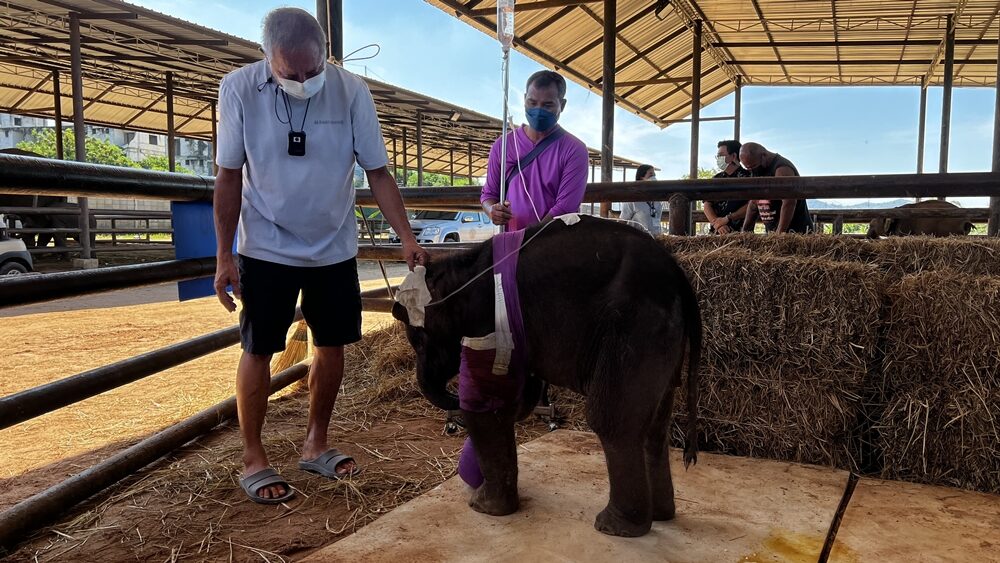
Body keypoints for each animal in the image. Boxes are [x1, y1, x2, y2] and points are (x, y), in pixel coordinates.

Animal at [392, 216, 704, 536]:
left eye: (419, 341)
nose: (451, 397)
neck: (460, 269)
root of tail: (679, 277)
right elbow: (514, 400)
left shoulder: (488, 323)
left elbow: (488, 407)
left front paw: (482, 507)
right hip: (661, 339)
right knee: (655, 425)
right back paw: (661, 515)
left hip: (634, 329)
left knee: (612, 421)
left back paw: (614, 526)